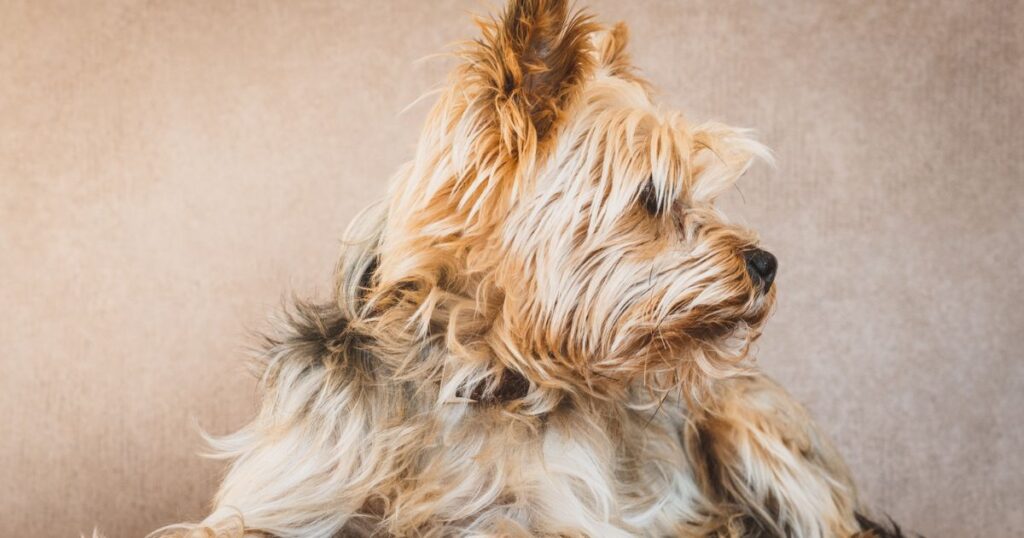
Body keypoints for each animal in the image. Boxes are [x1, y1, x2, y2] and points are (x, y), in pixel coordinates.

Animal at [151, 1, 905, 536]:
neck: (467, 367)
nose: (767, 262)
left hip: (742, 420)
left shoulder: (559, 514)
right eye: (652, 196)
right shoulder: (291, 485)